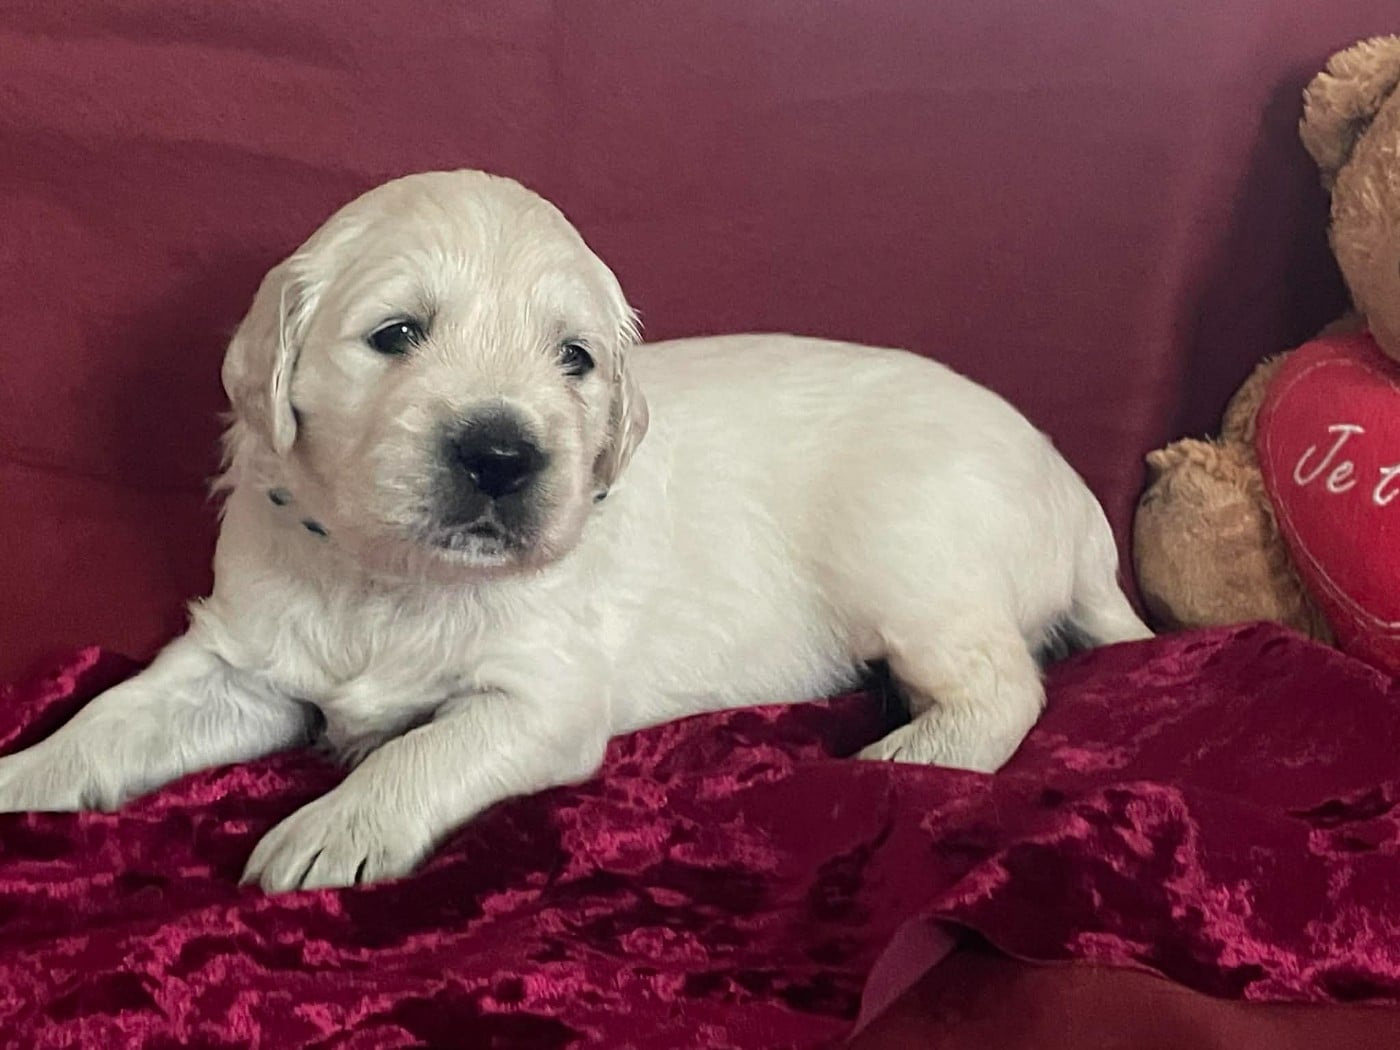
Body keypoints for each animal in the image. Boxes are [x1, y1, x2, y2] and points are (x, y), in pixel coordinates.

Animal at [0, 171, 1150, 892]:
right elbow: (111, 718)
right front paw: (21, 775)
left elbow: (423, 747)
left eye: (575, 359)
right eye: (396, 334)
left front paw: (335, 826)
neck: (390, 577)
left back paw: (907, 752)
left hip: (913, 554)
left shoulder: (541, 697)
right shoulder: (237, 659)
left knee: (1006, 687)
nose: (502, 455)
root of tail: (1078, 506)